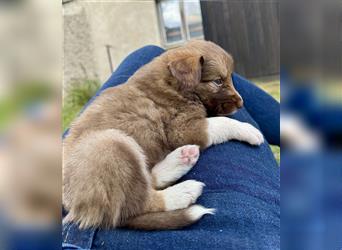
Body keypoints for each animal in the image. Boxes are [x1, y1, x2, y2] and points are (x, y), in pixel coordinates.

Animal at [62, 40, 264, 230]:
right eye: (218, 81)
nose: (241, 103)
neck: (173, 84)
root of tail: (72, 206)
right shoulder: (183, 128)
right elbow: (222, 122)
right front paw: (250, 130)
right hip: (110, 145)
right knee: (139, 202)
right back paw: (183, 192)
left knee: (147, 180)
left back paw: (181, 159)